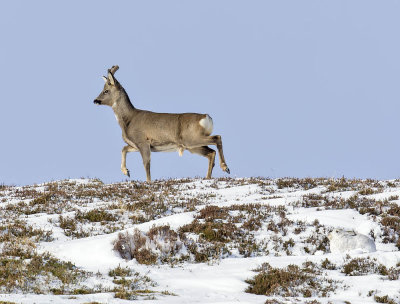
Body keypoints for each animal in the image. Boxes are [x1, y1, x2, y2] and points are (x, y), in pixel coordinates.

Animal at [94, 65, 230, 182]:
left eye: (106, 90)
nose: (95, 100)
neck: (128, 120)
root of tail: (206, 117)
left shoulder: (143, 142)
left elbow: (146, 164)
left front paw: (148, 182)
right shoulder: (136, 145)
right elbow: (124, 148)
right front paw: (126, 171)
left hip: (191, 139)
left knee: (217, 138)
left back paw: (225, 167)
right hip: (193, 146)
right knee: (211, 152)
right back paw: (209, 176)